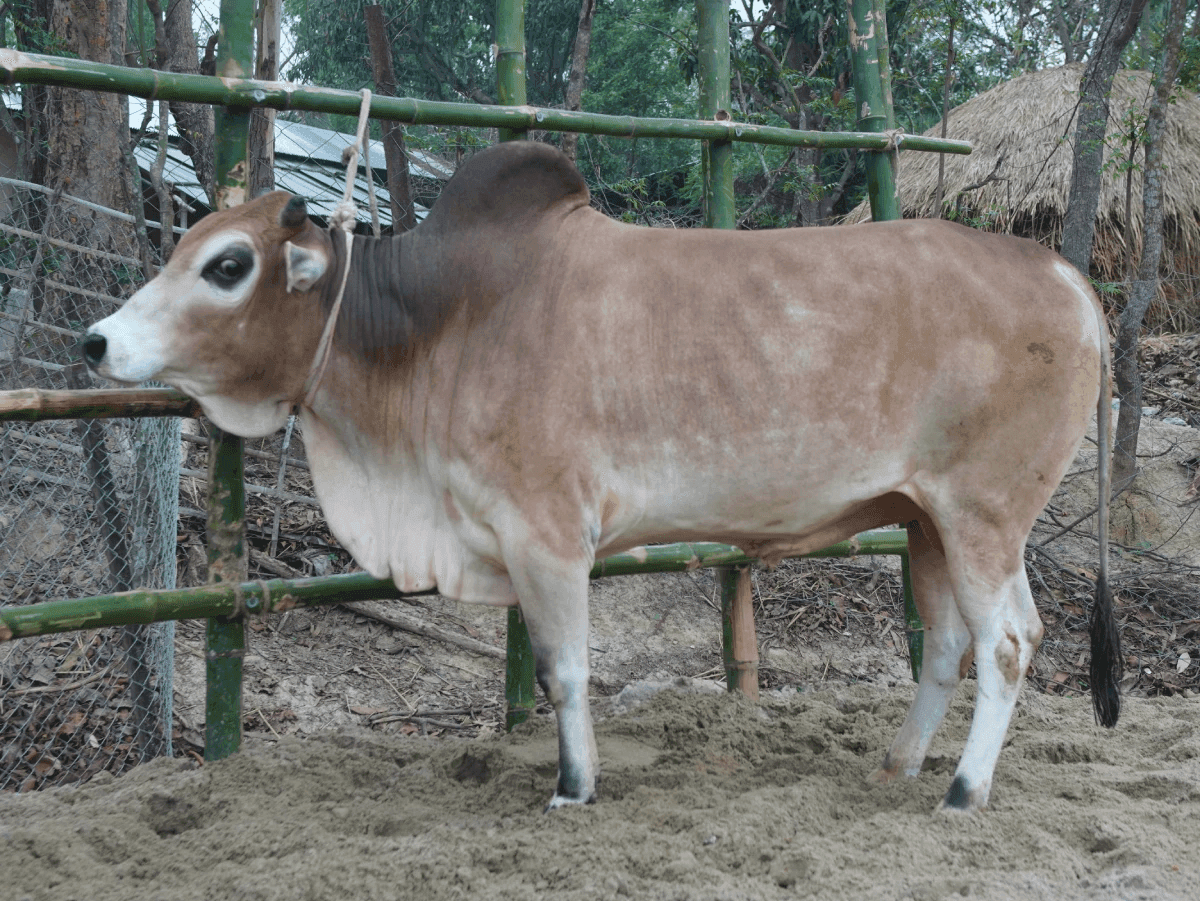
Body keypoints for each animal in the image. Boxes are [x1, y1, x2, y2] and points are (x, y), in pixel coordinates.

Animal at [83, 140, 1118, 813]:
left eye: (226, 264)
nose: (97, 340)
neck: (438, 321)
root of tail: (1061, 272)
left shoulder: (546, 537)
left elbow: (565, 670)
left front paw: (573, 788)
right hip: (926, 520)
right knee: (948, 647)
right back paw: (898, 768)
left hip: (985, 516)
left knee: (1010, 643)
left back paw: (963, 790)